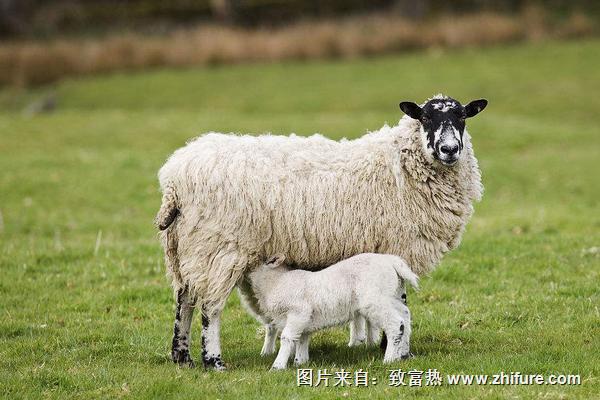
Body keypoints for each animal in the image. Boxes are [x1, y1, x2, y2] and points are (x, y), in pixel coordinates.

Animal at [244, 252, 418, 370]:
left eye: (254, 260)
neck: (275, 283)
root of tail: (392, 261)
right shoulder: (304, 319)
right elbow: (302, 339)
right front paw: (300, 362)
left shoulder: (298, 312)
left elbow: (287, 338)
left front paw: (277, 366)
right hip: (391, 295)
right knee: (405, 315)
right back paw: (403, 354)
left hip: (375, 299)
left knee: (395, 324)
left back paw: (389, 359)